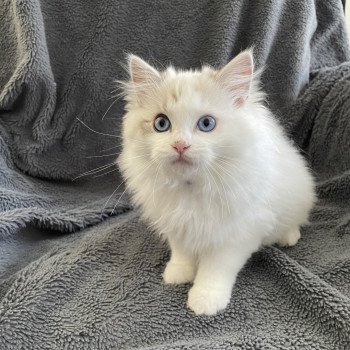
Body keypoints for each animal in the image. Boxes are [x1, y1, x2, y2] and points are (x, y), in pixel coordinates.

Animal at [117, 50, 318, 316]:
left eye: (206, 124)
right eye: (161, 124)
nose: (180, 145)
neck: (190, 186)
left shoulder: (234, 234)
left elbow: (215, 270)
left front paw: (205, 300)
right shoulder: (177, 224)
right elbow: (181, 252)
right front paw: (178, 273)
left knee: (295, 221)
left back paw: (288, 236)